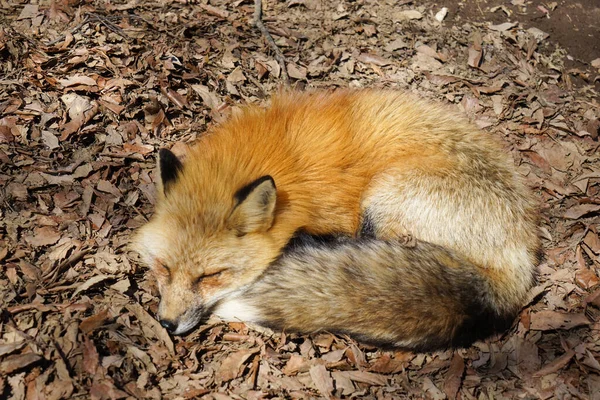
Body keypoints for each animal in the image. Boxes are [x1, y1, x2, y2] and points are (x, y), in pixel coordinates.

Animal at [130, 90, 540, 350]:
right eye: (164, 268)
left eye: (210, 276)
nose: (167, 324)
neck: (289, 170)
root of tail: (519, 262)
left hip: (384, 195)